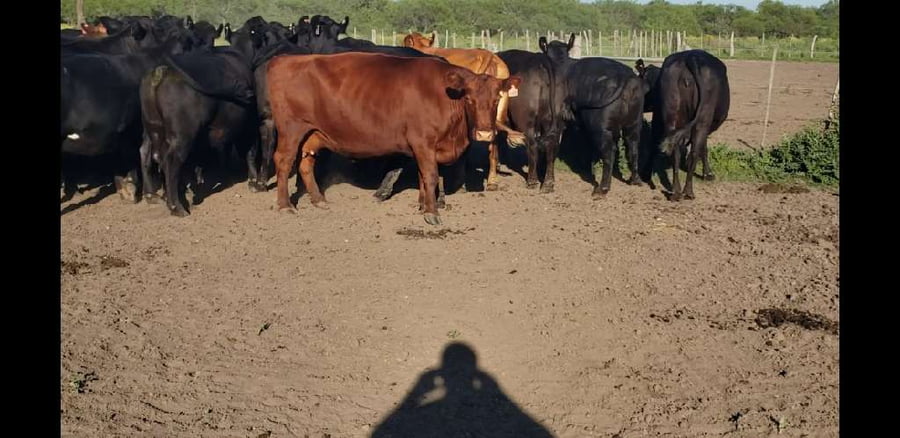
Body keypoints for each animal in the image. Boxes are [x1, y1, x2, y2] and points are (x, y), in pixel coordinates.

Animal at [266, 52, 521, 225]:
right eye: (469, 99)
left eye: (497, 99)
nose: (484, 133)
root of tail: (285, 59)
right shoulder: (423, 143)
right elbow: (430, 176)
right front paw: (431, 212)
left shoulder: (423, 148)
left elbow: (422, 177)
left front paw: (422, 205)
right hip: (291, 130)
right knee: (284, 162)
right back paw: (285, 205)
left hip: (312, 134)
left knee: (305, 164)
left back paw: (319, 200)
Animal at [496, 47, 571, 192]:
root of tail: (541, 59)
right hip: (552, 119)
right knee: (551, 146)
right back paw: (548, 183)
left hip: (526, 123)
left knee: (532, 146)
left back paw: (532, 181)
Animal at [543, 34, 646, 198]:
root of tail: (627, 76)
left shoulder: (556, 121)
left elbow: (552, 146)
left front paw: (547, 183)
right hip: (634, 124)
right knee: (633, 148)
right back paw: (635, 179)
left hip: (601, 128)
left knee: (609, 152)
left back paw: (602, 188)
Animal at [637, 50, 730, 200]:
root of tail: (691, 57)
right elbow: (703, 148)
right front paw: (708, 174)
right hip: (702, 120)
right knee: (694, 151)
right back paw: (688, 192)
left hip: (672, 115)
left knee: (676, 151)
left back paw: (676, 192)